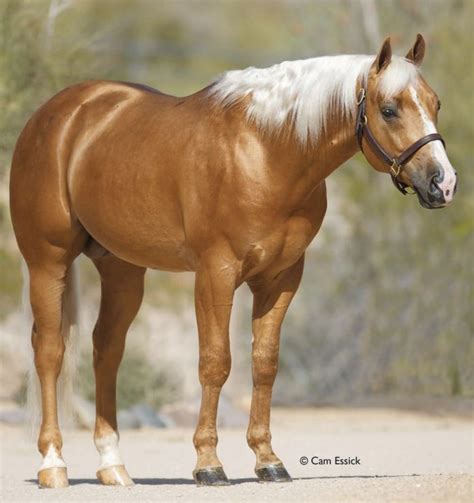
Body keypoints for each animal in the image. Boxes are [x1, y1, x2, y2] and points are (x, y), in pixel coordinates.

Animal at [10, 34, 456, 488]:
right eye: (389, 109)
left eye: (435, 103)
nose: (444, 183)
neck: (267, 153)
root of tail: (57, 114)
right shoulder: (215, 273)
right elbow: (215, 362)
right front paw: (208, 463)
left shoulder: (281, 279)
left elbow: (265, 363)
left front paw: (268, 460)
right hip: (47, 262)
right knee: (49, 351)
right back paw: (53, 464)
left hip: (122, 269)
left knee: (107, 349)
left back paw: (113, 465)